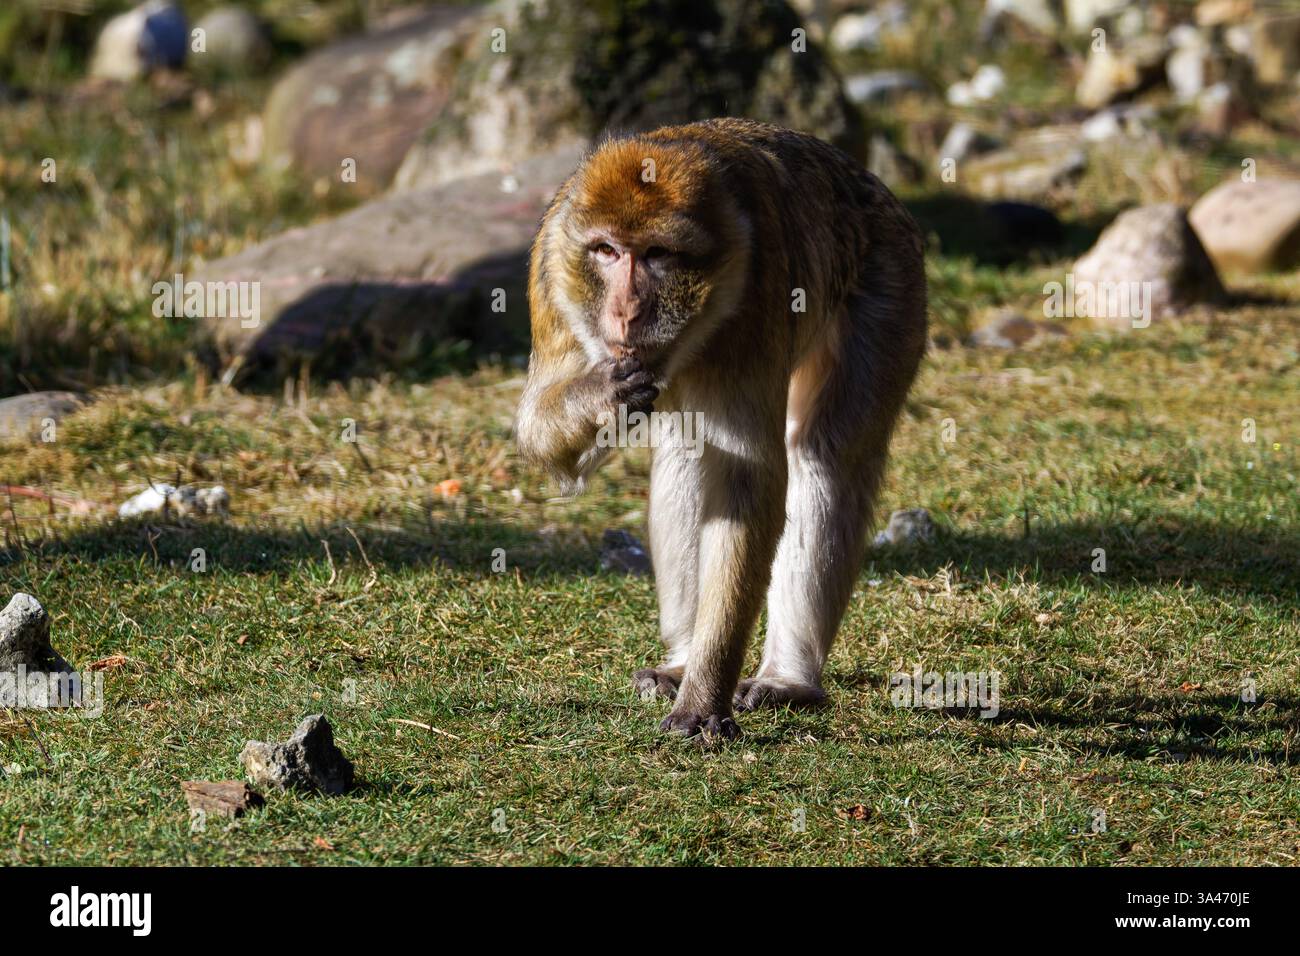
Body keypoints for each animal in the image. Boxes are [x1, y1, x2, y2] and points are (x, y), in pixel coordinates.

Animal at [516, 118, 927, 740]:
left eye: (657, 254)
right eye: (607, 251)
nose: (625, 312)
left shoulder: (757, 297)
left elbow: (747, 480)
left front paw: (705, 696)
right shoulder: (552, 278)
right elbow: (538, 430)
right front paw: (603, 394)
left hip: (891, 279)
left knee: (826, 456)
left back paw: (787, 677)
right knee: (685, 456)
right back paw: (682, 660)